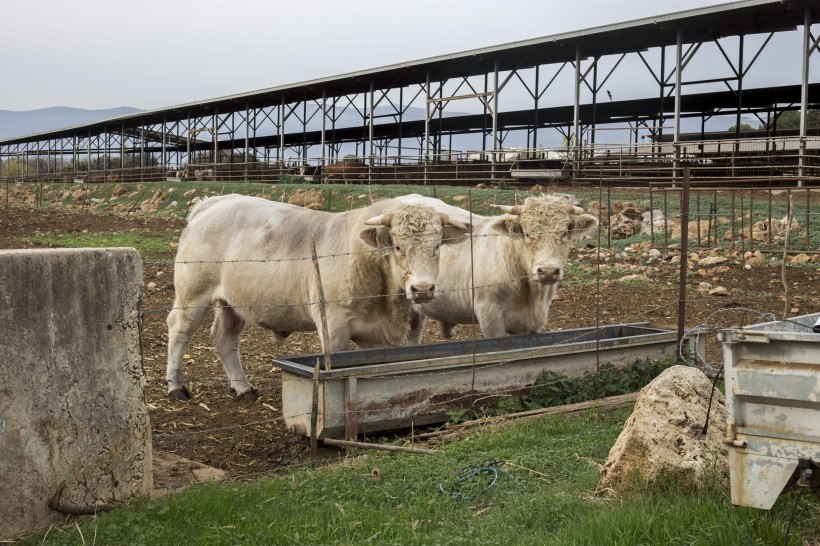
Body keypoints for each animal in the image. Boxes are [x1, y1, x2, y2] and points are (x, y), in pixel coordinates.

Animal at [165, 193, 468, 398]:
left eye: (437, 245)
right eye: (397, 246)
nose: (423, 289)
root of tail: (214, 202)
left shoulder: (381, 335)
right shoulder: (333, 326)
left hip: (233, 302)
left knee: (224, 336)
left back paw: (243, 388)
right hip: (192, 294)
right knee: (179, 330)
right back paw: (175, 386)